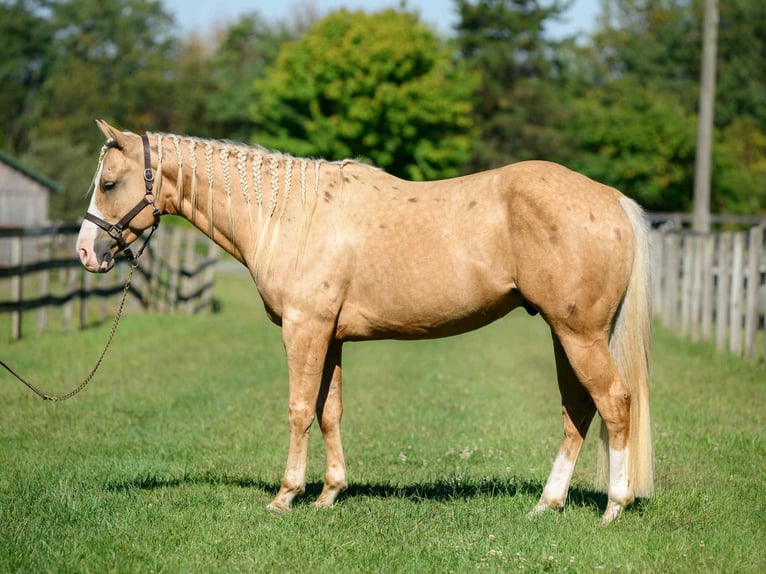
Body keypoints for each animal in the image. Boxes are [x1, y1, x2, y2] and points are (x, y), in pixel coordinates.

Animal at [77, 120, 653, 523]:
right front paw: (330, 493)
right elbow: (328, 411)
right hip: (564, 335)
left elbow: (298, 410)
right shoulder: (329, 337)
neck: (289, 214)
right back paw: (547, 504)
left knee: (615, 403)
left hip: (579, 336)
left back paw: (613, 507)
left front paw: (285, 496)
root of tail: (612, 199)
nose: (86, 251)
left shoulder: (303, 329)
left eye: (110, 183)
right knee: (578, 411)